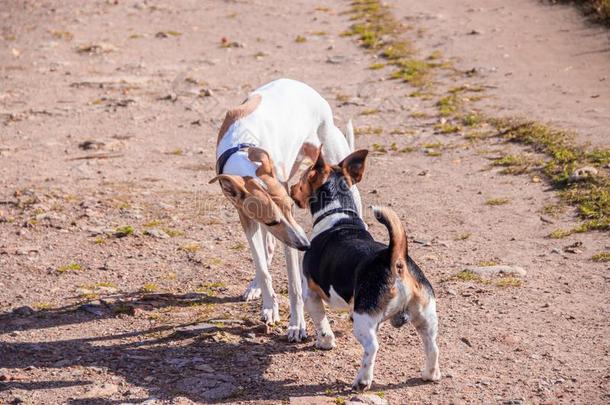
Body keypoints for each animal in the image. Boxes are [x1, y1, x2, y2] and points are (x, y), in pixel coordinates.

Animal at [209, 77, 360, 340]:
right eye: (272, 219)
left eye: (291, 208)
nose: (305, 245)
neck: (242, 147)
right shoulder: (249, 218)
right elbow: (261, 264)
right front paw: (269, 305)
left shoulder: (290, 232)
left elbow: (294, 285)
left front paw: (297, 324)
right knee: (267, 248)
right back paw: (255, 286)